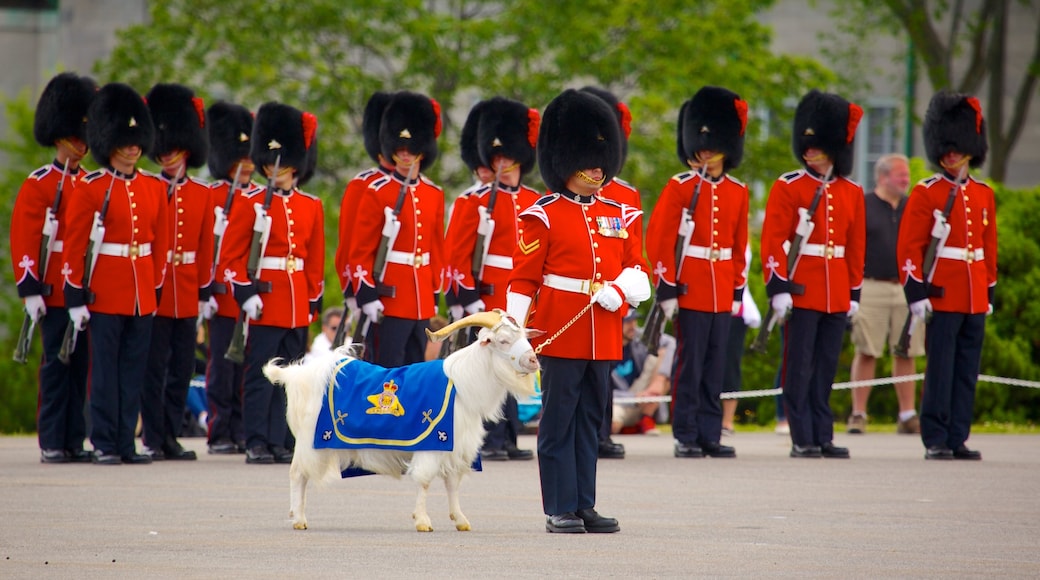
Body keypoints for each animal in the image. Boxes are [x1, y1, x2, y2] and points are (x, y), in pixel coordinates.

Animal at [260, 311, 540, 536]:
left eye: (524, 336)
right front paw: (423, 521)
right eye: (503, 341)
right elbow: (425, 481)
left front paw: (460, 519)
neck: (461, 385)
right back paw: (298, 518)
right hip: (310, 440)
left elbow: (452, 484)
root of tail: (299, 374)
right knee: (298, 474)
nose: (533, 361)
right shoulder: (433, 442)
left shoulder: (455, 445)